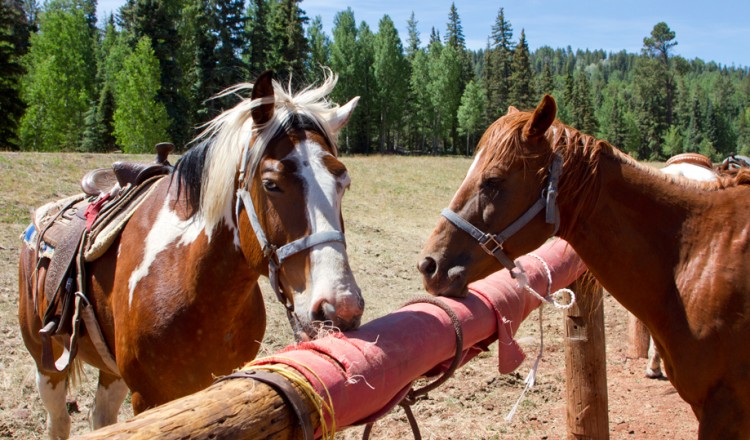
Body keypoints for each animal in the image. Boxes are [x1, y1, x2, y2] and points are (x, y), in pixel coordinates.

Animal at [19, 70, 366, 438]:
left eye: (343, 182)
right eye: (271, 184)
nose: (340, 309)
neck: (195, 286)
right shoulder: (149, 398)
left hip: (110, 370)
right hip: (47, 362)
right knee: (59, 419)